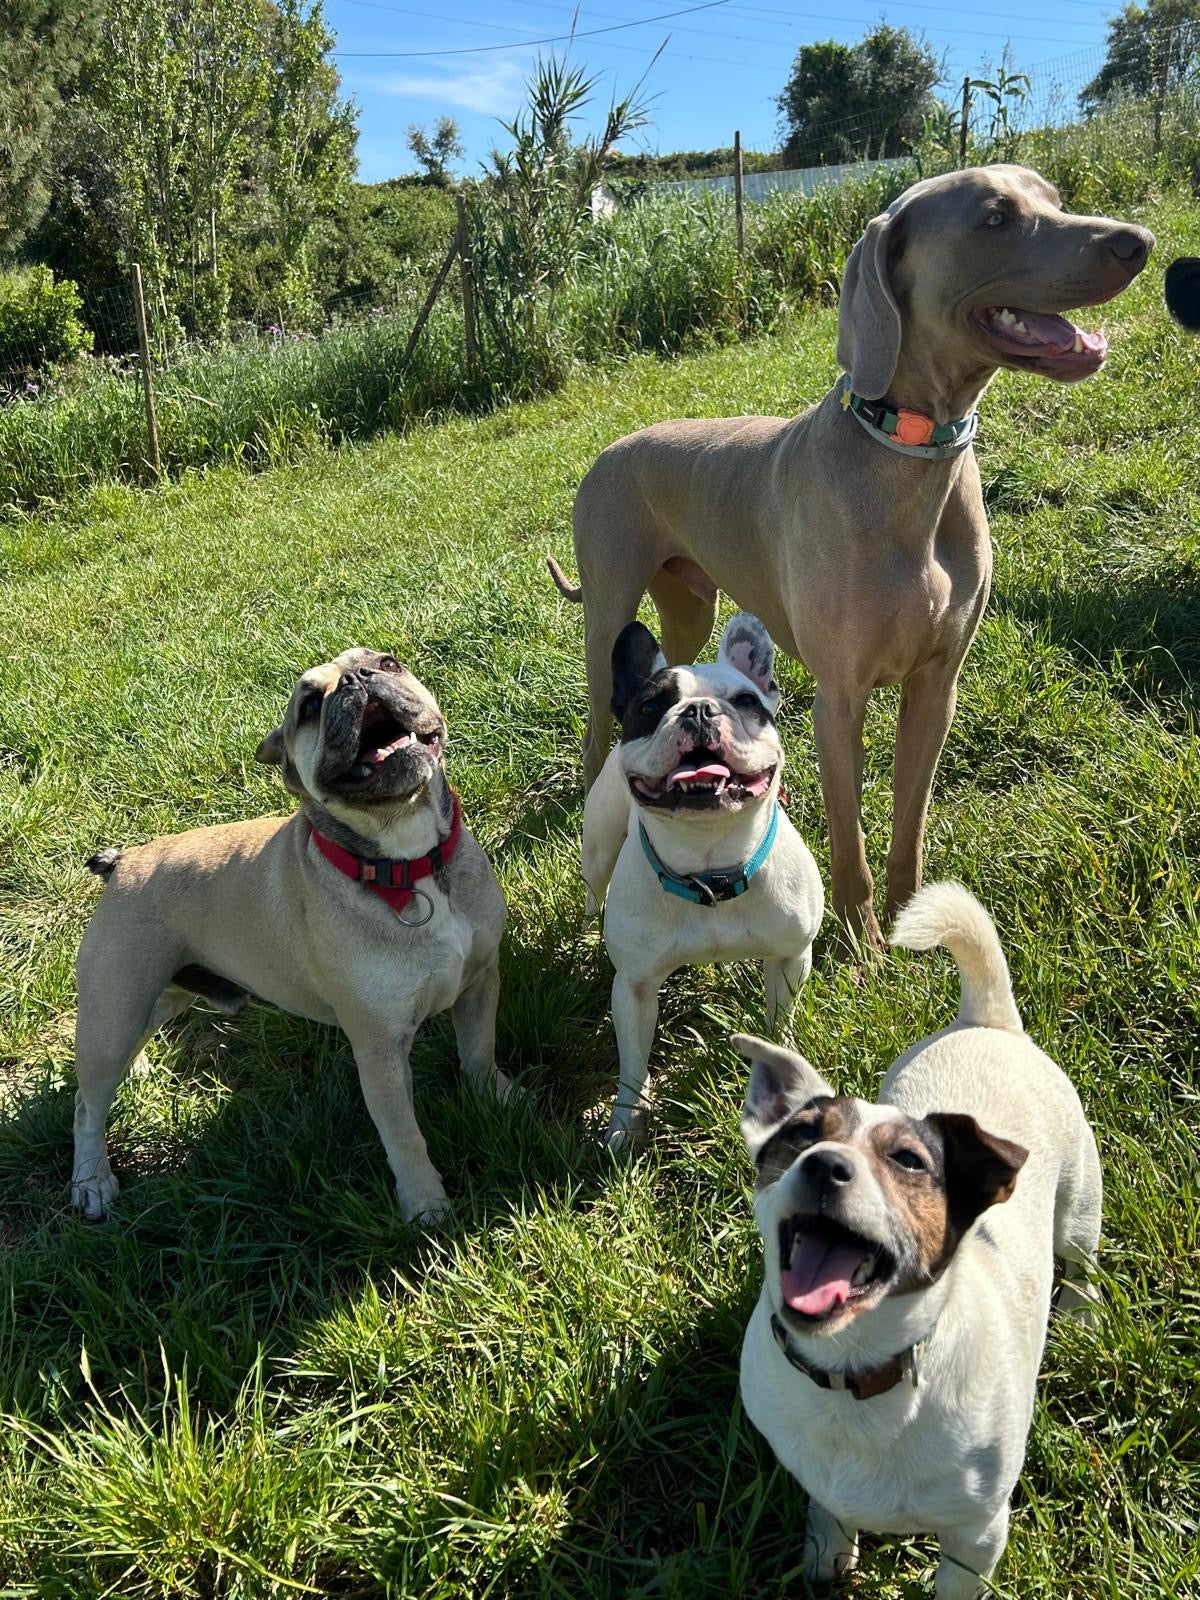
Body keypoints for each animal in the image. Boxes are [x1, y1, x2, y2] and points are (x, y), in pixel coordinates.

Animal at [553, 165, 1158, 947]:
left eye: (1052, 197)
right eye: (994, 217)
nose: (1137, 241)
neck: (909, 455)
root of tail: (606, 452)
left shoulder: (936, 685)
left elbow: (909, 821)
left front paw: (912, 922)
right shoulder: (839, 698)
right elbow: (850, 840)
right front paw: (861, 945)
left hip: (688, 604)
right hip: (609, 605)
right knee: (599, 722)